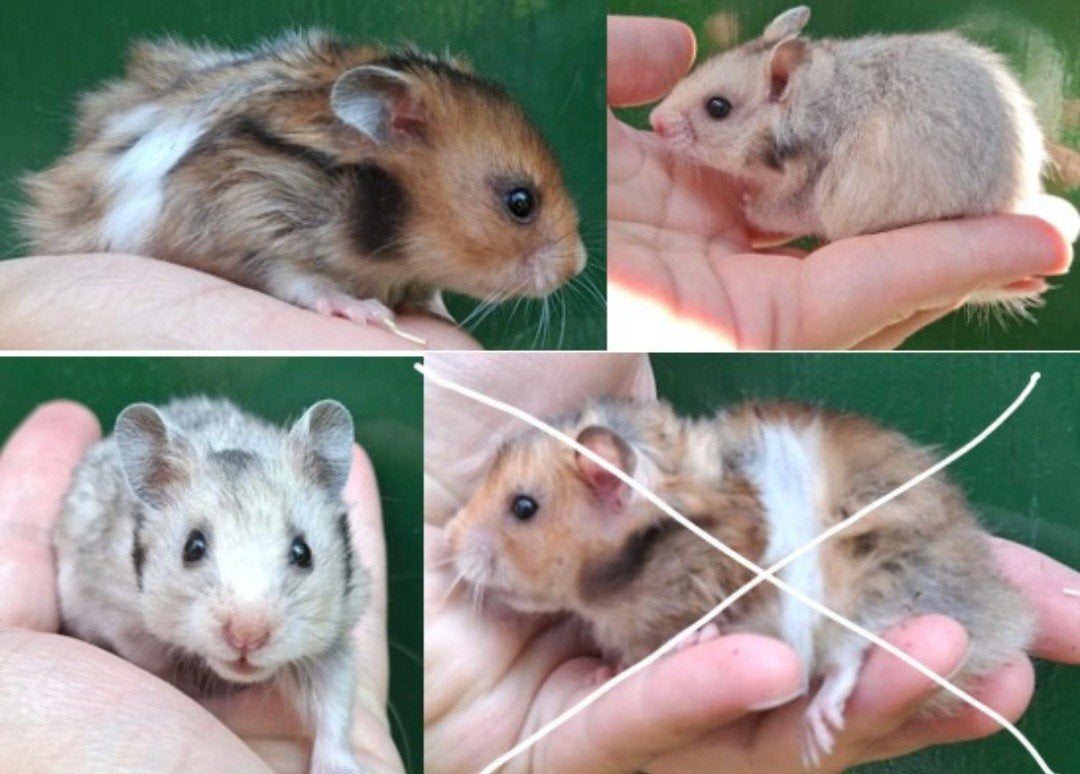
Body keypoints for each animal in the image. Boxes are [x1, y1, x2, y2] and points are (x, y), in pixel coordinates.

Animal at [54, 396, 369, 774]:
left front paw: (338, 768)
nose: (247, 636)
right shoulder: (122, 623)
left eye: (302, 552)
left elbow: (334, 704)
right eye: (193, 547)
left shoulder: (332, 638)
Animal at [446, 398, 1035, 766]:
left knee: (849, 657)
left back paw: (817, 730)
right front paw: (600, 673)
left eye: (523, 507)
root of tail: (995, 598)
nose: (446, 543)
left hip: (873, 581)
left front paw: (689, 641)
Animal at [650, 7, 1046, 300]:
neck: (813, 110)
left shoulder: (803, 199)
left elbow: (771, 210)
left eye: (718, 107)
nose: (655, 121)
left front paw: (746, 204)